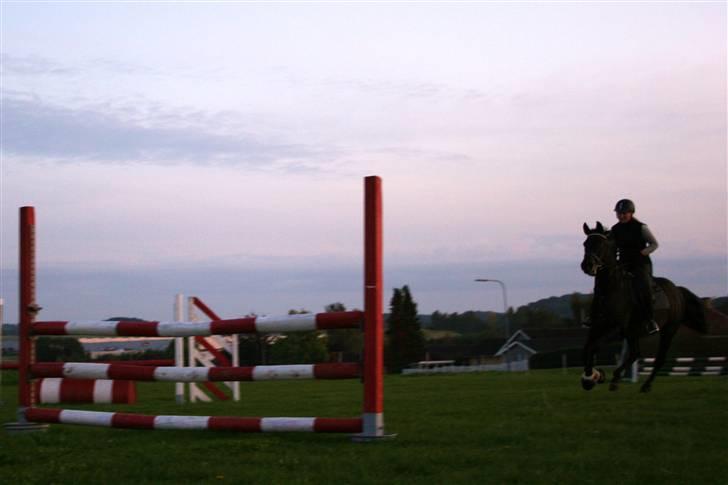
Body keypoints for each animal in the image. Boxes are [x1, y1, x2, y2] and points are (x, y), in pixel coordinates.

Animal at [580, 221, 704, 392]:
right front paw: (590, 376)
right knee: (635, 353)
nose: (587, 266)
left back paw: (644, 385)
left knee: (658, 358)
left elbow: (594, 346)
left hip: (668, 330)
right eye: (585, 244)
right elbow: (588, 347)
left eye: (601, 244)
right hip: (633, 332)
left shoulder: (616, 329)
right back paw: (617, 379)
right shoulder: (598, 326)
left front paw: (593, 376)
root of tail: (677, 290)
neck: (611, 288)